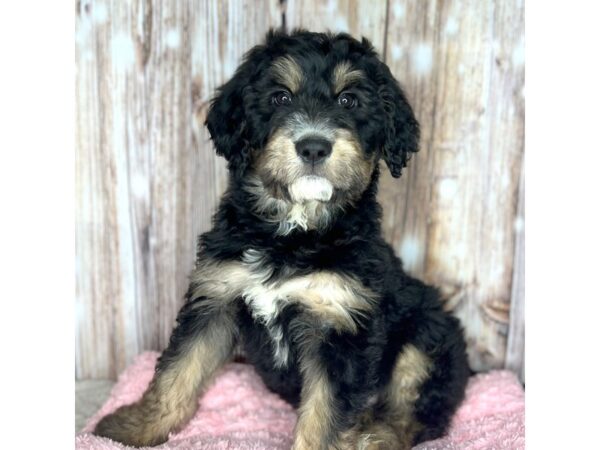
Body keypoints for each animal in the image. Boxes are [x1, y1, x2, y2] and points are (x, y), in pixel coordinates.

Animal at [94, 29, 472, 448]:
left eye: (348, 100)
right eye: (280, 98)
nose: (313, 146)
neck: (295, 232)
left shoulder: (341, 325)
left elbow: (325, 417)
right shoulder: (216, 296)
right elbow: (178, 370)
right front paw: (131, 429)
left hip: (426, 334)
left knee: (413, 414)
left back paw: (374, 437)